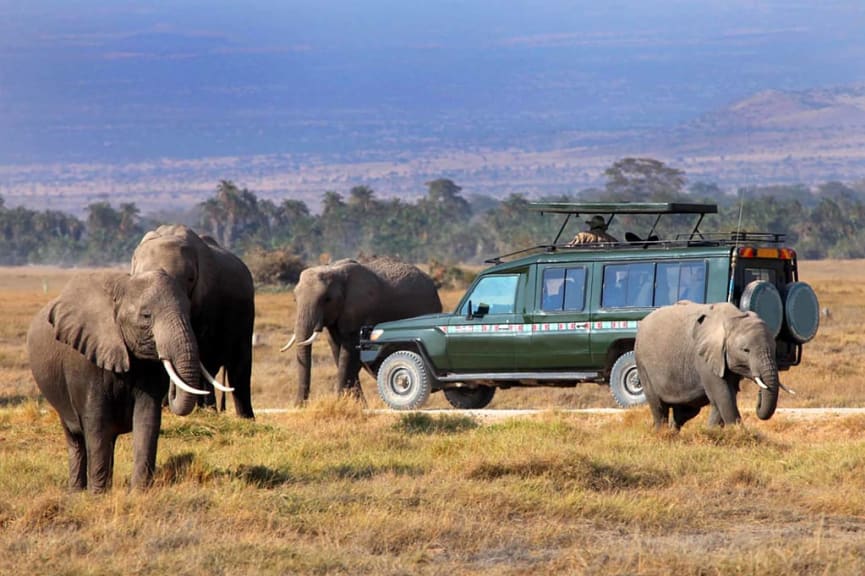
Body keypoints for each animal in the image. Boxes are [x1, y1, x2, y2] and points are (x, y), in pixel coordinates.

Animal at [27, 268, 213, 490]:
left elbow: (147, 419)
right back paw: (77, 491)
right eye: (146, 316)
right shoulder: (85, 360)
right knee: (76, 438)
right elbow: (96, 422)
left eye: (189, 312)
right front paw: (97, 494)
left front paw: (139, 491)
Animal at [284, 256, 442, 404]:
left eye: (327, 299)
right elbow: (338, 351)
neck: (334, 270)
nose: (299, 406)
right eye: (294, 299)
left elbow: (349, 354)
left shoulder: (361, 310)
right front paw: (356, 405)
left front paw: (341, 402)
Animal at [632, 300, 788, 430]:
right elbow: (723, 394)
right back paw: (661, 433)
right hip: (641, 362)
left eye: (775, 348)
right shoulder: (703, 358)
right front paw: (738, 433)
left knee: (685, 412)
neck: (733, 317)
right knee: (658, 406)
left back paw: (672, 433)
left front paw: (712, 431)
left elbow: (725, 395)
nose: (760, 394)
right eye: (746, 350)